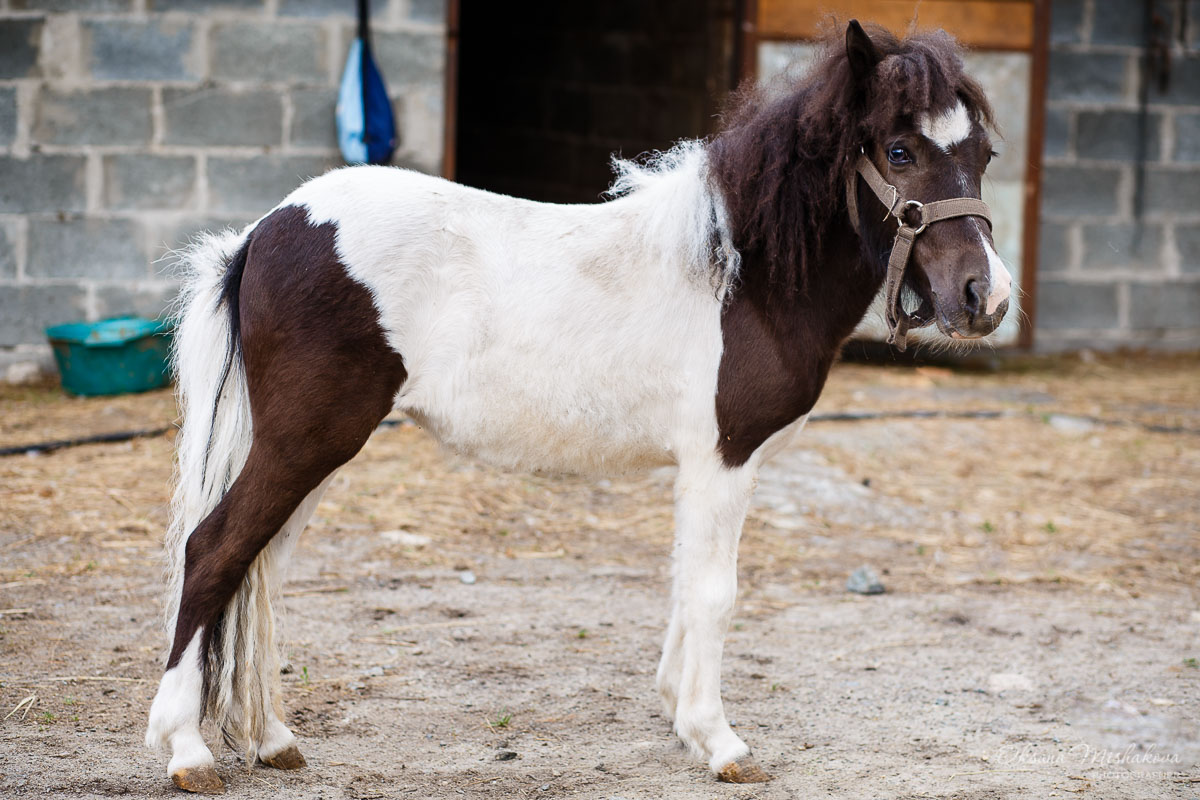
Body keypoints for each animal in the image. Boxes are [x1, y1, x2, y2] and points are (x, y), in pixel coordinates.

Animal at [145, 20, 1008, 796]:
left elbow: (684, 584)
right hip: (305, 440)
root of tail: (265, 230)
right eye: (900, 151)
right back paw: (189, 751)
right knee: (215, 551)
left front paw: (682, 720)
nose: (985, 298)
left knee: (259, 570)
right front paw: (720, 742)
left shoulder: (703, 466)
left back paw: (271, 739)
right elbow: (713, 593)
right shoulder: (723, 459)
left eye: (983, 155)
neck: (743, 276)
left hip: (313, 447)